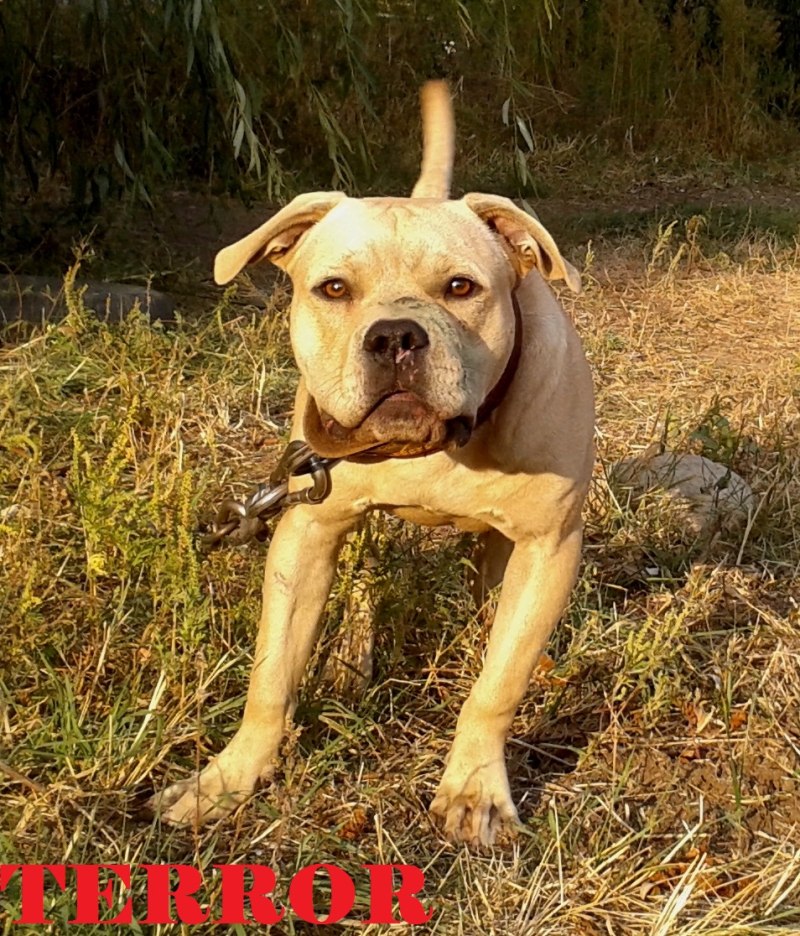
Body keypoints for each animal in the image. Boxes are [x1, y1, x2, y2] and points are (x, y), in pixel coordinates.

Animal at [153, 82, 592, 848]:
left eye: (461, 288)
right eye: (333, 289)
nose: (394, 336)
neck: (436, 447)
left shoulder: (548, 548)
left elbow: (496, 686)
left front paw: (474, 792)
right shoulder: (304, 532)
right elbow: (270, 678)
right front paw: (227, 782)